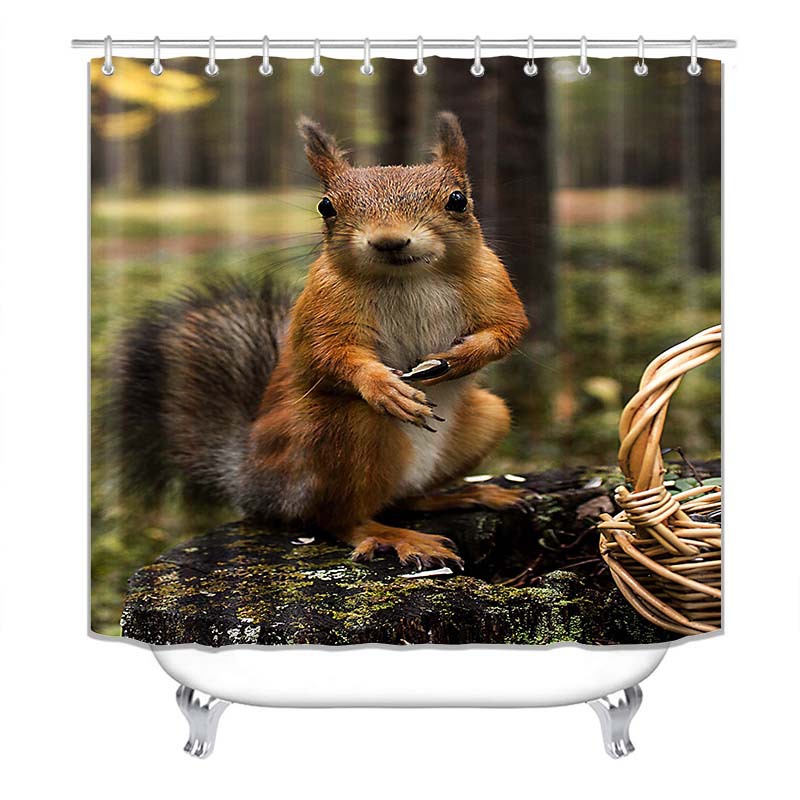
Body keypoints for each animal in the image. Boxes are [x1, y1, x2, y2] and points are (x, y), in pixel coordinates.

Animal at [111, 111, 529, 570]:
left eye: (458, 200)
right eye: (326, 206)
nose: (389, 240)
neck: (408, 277)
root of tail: (254, 483)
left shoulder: (493, 281)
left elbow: (508, 330)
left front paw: (457, 359)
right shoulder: (322, 303)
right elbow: (327, 353)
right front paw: (384, 387)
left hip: (488, 418)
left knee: (406, 498)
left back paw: (468, 493)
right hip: (335, 435)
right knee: (337, 517)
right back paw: (395, 536)